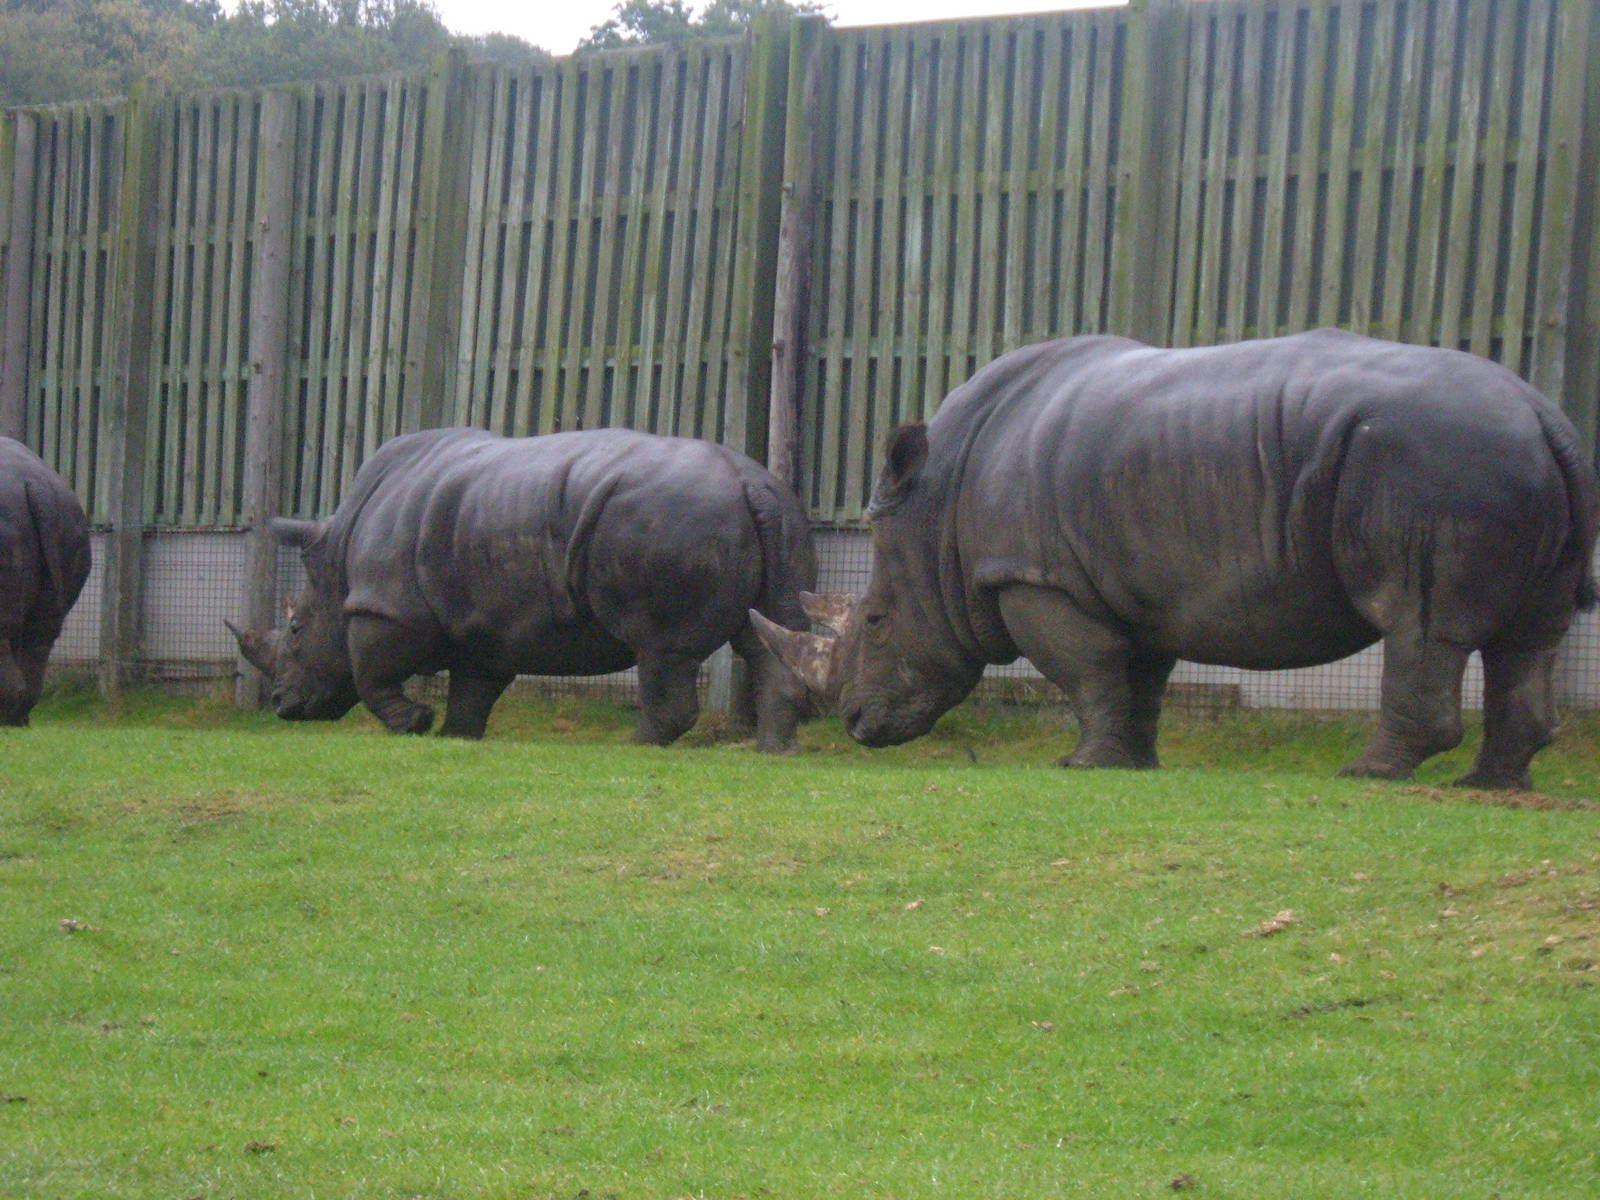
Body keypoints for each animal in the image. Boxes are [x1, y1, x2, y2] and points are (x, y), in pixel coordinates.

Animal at [229, 427, 816, 751]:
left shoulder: (385, 608)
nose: (281, 705)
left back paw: (635, 747)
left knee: (661, 649)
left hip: (673, 520)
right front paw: (455, 737)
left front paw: (414, 723)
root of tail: (749, 481)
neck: (337, 563)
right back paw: (776, 753)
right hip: (781, 514)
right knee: (768, 634)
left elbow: (371, 672)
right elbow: (473, 687)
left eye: (296, 629)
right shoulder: (484, 627)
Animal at [752, 330, 1599, 789]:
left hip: (1435, 461)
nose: (855, 725)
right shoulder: (1131, 587)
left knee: (1417, 622)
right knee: (1531, 637)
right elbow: (1139, 680)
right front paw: (1135, 764)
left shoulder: (1037, 577)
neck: (934, 515)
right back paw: (1489, 783)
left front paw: (1081, 766)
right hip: (1495, 459)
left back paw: (1369, 774)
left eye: (875, 619)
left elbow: (1086, 671)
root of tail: (1544, 416)